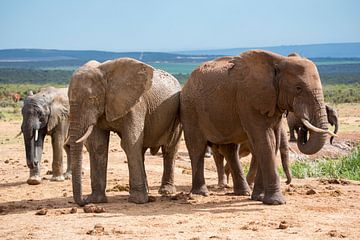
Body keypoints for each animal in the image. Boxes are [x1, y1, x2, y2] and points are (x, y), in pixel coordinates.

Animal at [67, 57, 181, 205]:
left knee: (169, 149)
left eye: (92, 99)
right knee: (142, 151)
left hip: (177, 113)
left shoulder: (135, 105)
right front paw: (97, 200)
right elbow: (98, 146)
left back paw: (166, 192)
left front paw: (137, 201)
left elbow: (130, 143)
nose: (85, 200)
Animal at [181, 49, 336, 203]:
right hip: (190, 109)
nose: (304, 128)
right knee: (197, 147)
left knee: (230, 150)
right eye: (298, 88)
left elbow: (272, 142)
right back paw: (200, 194)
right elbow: (265, 140)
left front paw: (259, 198)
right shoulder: (249, 100)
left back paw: (242, 193)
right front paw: (276, 202)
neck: (280, 61)